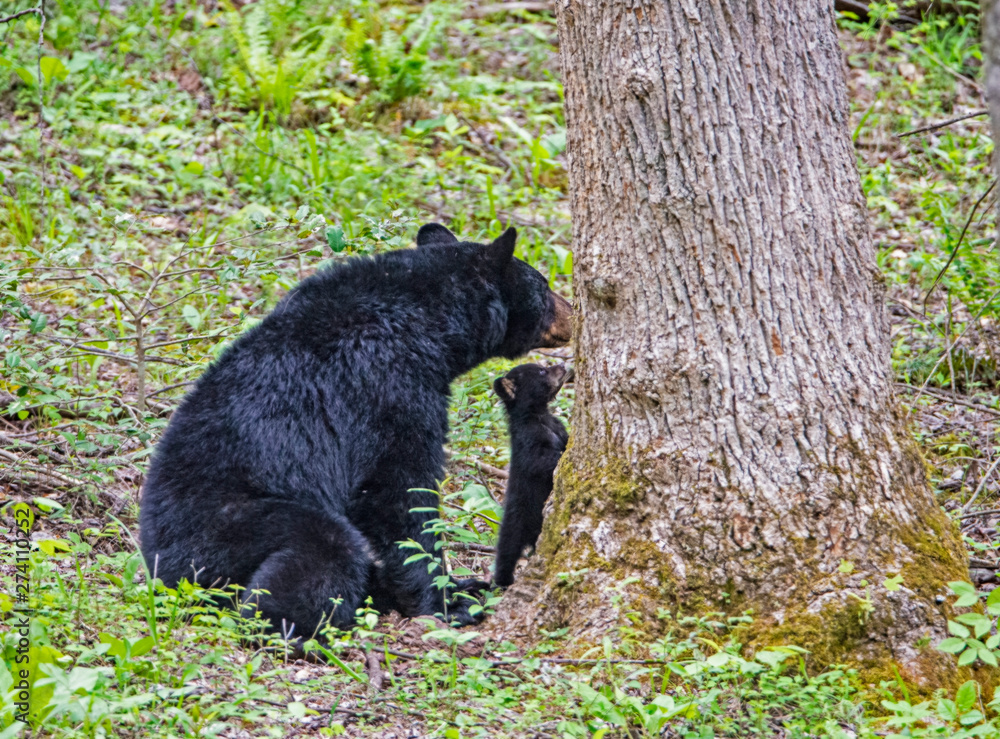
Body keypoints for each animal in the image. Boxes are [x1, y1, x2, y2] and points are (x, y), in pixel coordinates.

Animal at [491, 363, 570, 588]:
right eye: (542, 371)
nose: (563, 365)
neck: (539, 415)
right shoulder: (529, 439)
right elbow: (539, 461)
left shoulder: (558, 428)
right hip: (515, 522)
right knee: (506, 552)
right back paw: (503, 581)